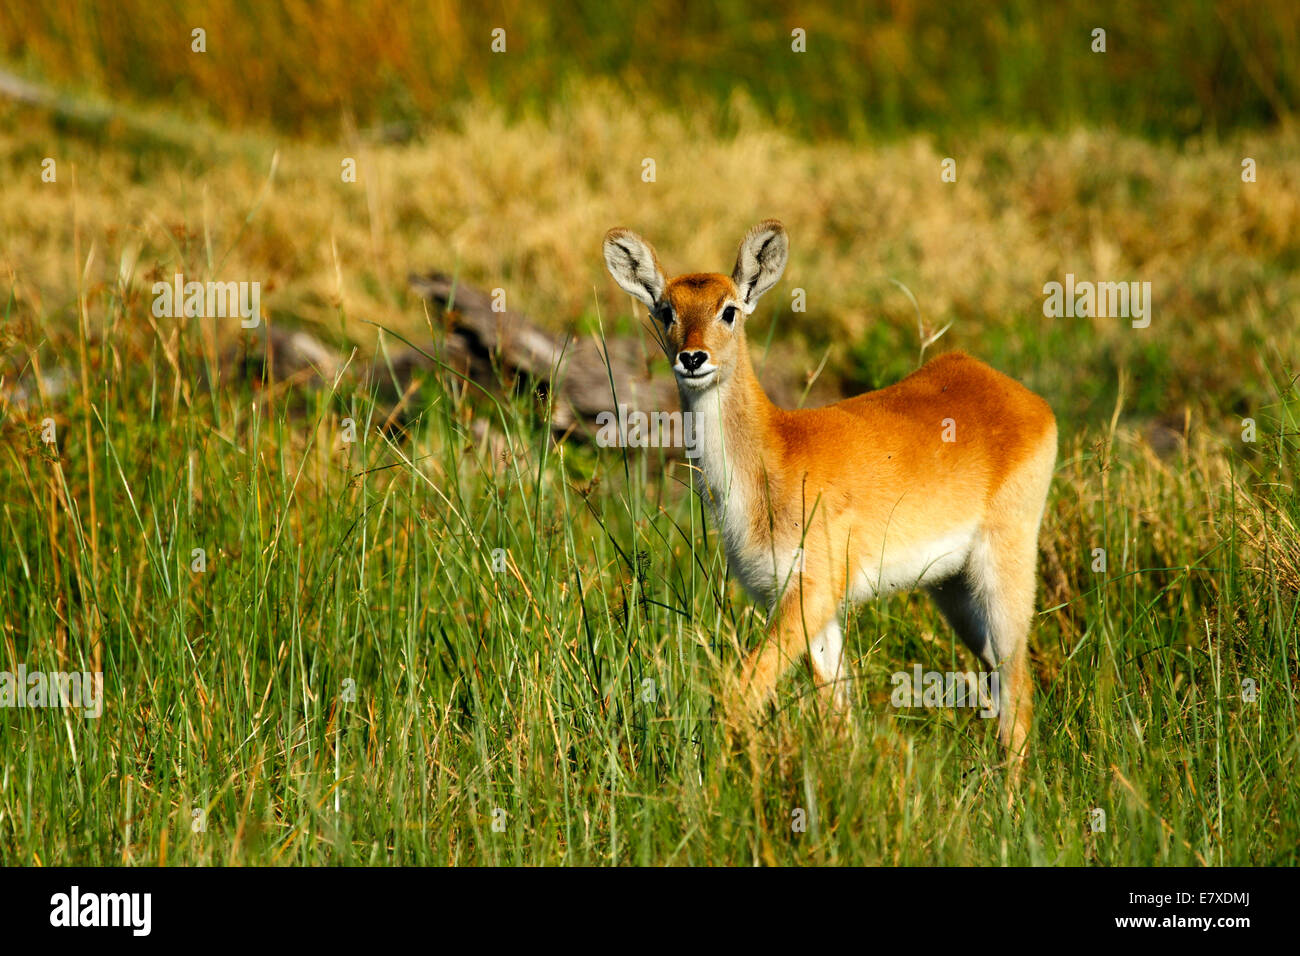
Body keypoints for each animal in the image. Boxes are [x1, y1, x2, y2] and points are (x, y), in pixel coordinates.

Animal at [603, 218, 1060, 770]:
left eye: (728, 308)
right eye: (666, 310)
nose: (694, 357)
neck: (775, 458)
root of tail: (1022, 397)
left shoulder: (811, 592)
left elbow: (741, 693)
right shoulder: (804, 606)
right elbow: (838, 716)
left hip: (1004, 568)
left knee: (1019, 691)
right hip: (952, 589)